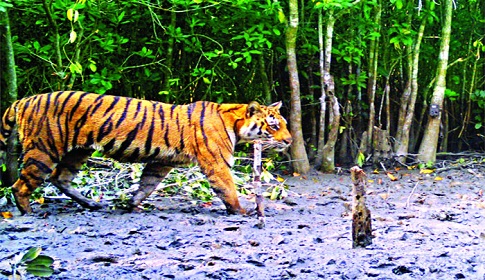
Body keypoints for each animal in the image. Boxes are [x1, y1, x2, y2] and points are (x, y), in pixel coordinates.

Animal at [0, 91, 292, 215]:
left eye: (285, 124)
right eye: (274, 125)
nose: (289, 141)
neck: (234, 122)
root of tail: (24, 99)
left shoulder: (161, 162)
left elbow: (147, 185)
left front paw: (131, 204)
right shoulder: (216, 163)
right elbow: (228, 188)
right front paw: (242, 211)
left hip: (78, 152)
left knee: (60, 178)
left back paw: (92, 204)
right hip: (43, 149)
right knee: (21, 185)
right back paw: (27, 212)